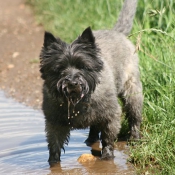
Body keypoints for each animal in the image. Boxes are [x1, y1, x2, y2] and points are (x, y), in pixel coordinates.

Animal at [40, 0, 144, 164]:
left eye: (83, 66)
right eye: (60, 68)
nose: (72, 83)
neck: (76, 101)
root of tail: (117, 33)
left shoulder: (111, 115)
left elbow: (108, 138)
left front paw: (107, 156)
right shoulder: (54, 123)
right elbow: (54, 145)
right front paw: (53, 163)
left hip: (132, 91)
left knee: (135, 116)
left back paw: (134, 138)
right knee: (95, 126)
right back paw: (90, 139)